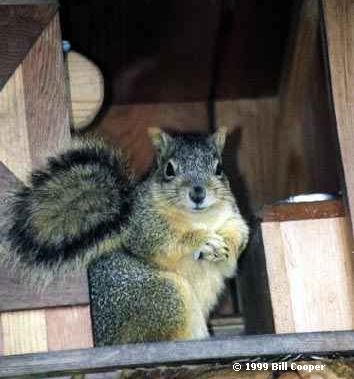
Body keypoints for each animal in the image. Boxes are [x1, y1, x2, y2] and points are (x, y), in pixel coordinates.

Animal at [0, 127, 249, 348]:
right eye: (169, 169)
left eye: (219, 168)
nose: (198, 193)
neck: (198, 218)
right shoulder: (140, 224)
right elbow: (163, 240)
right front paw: (201, 241)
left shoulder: (232, 216)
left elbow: (239, 234)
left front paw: (227, 246)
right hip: (161, 294)